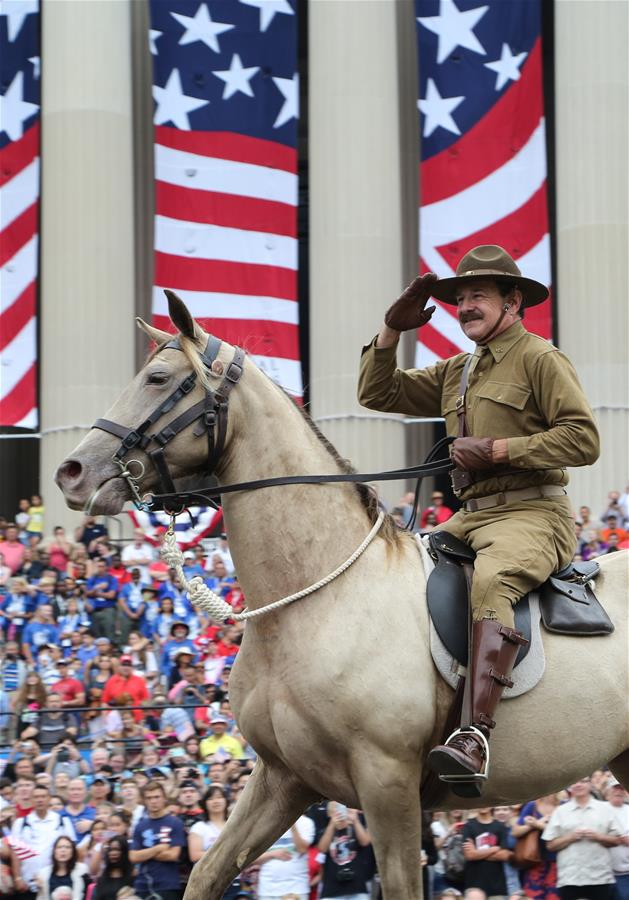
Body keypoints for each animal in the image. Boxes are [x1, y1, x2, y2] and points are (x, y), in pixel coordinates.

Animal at [56, 294, 624, 900]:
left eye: (158, 378)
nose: (71, 472)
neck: (312, 602)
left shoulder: (387, 781)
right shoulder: (283, 779)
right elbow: (206, 872)